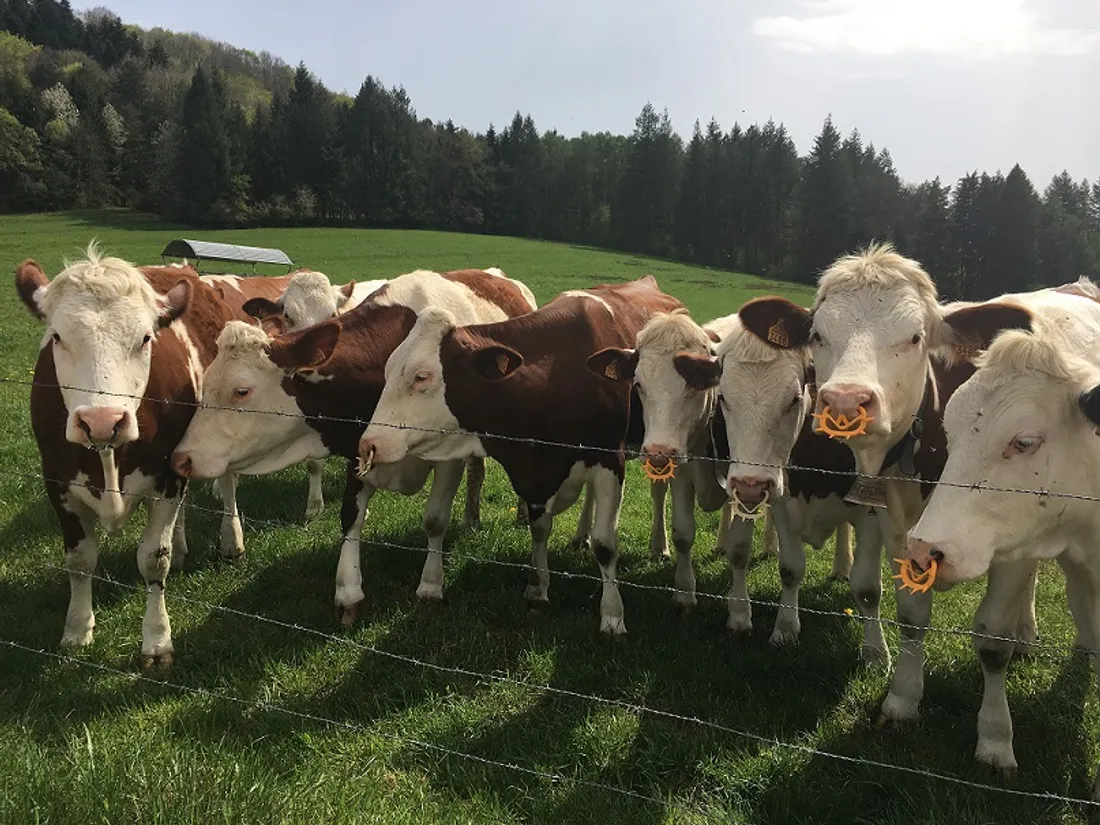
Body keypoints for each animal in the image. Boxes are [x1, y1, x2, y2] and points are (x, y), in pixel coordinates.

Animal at [15, 244, 245, 666]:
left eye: (145, 338)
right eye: (57, 336)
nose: (102, 420)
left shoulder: (167, 477)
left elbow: (154, 557)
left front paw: (157, 640)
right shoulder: (57, 482)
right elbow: (80, 560)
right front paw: (77, 631)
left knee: (227, 484)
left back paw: (231, 540)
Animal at [170, 268, 537, 625]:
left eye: (242, 391)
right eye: (206, 384)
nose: (181, 458)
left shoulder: (447, 456)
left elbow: (435, 519)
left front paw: (430, 587)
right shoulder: (359, 446)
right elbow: (351, 517)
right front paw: (348, 592)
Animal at [357, 275, 685, 634]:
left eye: (421, 376)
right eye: (388, 370)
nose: (369, 443)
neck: (558, 370)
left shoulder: (609, 458)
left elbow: (606, 545)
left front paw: (612, 616)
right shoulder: (539, 470)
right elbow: (539, 529)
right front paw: (537, 587)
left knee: (659, 490)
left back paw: (659, 545)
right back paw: (580, 535)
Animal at [586, 309, 861, 645]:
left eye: (694, 387)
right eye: (638, 385)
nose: (658, 452)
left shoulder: (748, 481)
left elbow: (740, 549)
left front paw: (739, 615)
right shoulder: (685, 473)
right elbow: (683, 534)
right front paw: (684, 593)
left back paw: (837, 565)